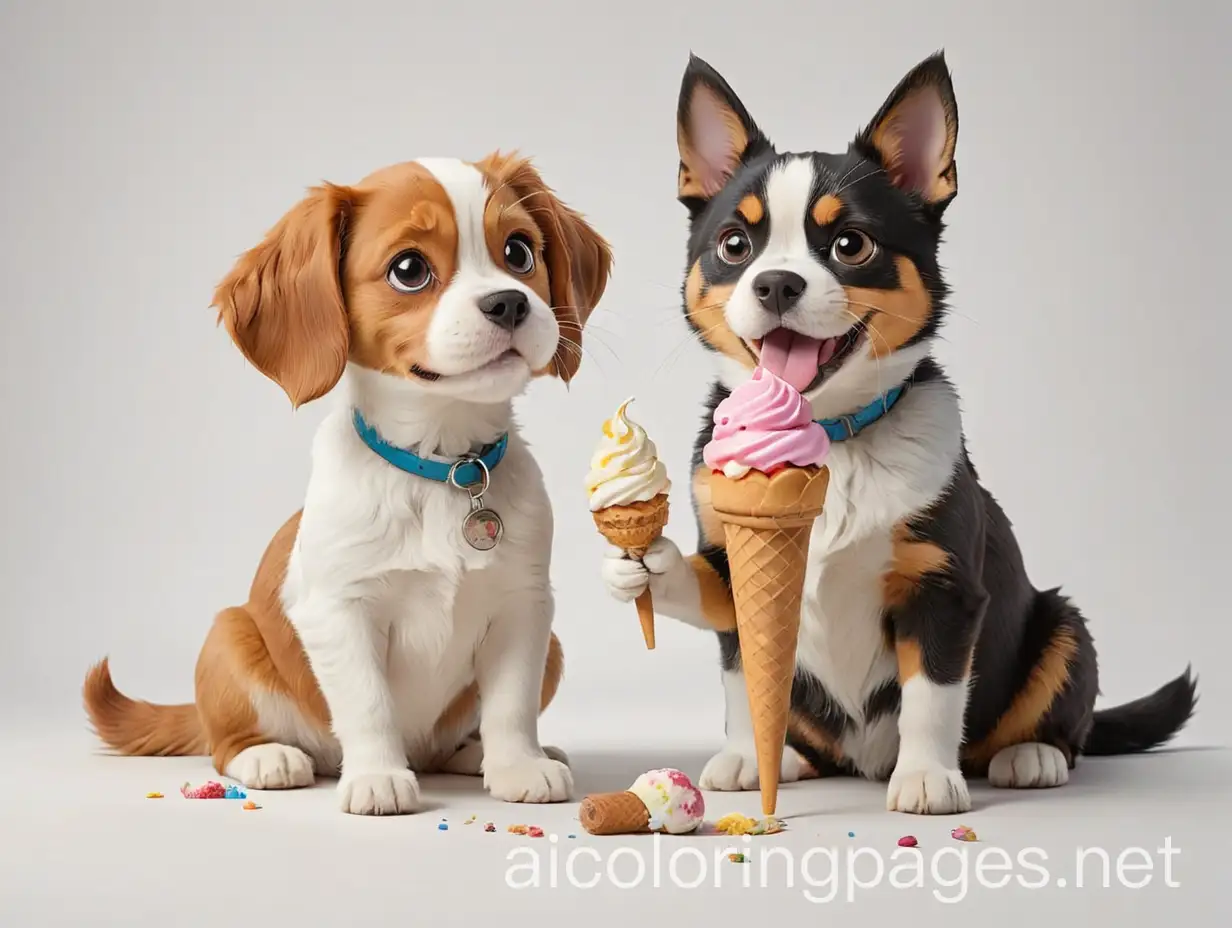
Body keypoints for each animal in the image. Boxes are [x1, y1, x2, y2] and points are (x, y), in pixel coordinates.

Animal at [81, 152, 611, 808]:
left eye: (519, 252)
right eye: (409, 270)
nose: (509, 303)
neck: (445, 469)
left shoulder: (524, 608)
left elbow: (511, 703)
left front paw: (518, 766)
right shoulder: (339, 610)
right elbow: (368, 703)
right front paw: (378, 776)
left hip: (549, 651)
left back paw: (474, 754)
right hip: (228, 635)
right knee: (224, 742)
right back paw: (269, 757)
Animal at [601, 54, 1197, 813]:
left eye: (850, 244)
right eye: (735, 245)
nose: (776, 283)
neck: (829, 436)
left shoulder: (943, 593)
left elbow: (933, 697)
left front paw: (926, 776)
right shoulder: (736, 573)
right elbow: (741, 677)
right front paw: (649, 569)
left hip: (1061, 625)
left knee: (1064, 718)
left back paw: (1031, 756)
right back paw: (790, 758)